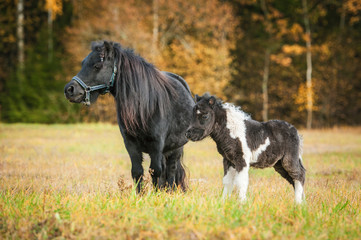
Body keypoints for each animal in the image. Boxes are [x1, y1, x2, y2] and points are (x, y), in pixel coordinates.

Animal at [64, 41, 194, 191]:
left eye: (97, 66)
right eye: (83, 64)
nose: (69, 90)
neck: (145, 107)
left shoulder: (156, 144)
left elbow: (155, 171)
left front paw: (156, 195)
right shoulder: (131, 144)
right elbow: (137, 172)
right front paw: (140, 195)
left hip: (176, 148)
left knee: (171, 169)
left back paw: (170, 191)